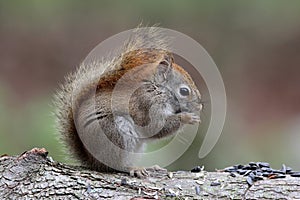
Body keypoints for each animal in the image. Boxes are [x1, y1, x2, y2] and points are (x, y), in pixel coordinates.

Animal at [54, 26, 204, 177]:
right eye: (184, 91)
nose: (200, 107)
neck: (158, 89)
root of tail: (93, 161)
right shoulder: (145, 103)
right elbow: (155, 127)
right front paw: (188, 117)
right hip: (115, 134)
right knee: (115, 165)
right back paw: (132, 168)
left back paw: (149, 167)